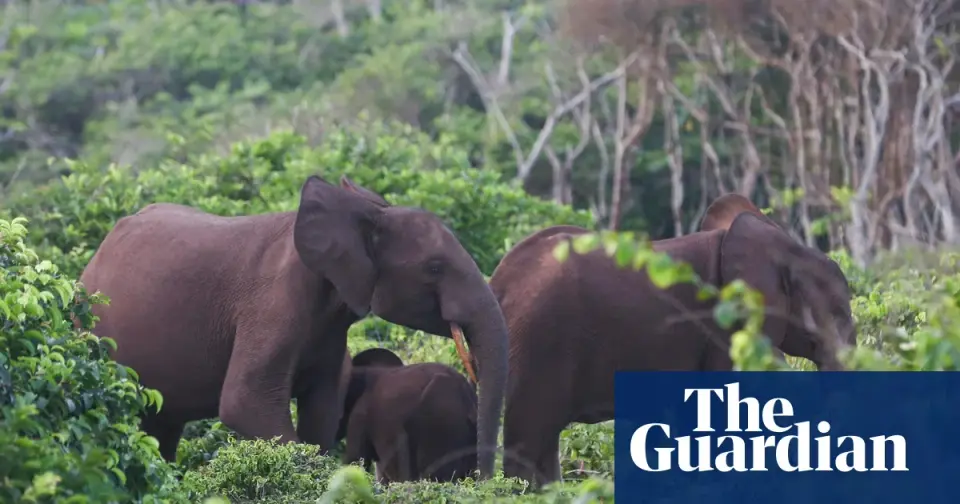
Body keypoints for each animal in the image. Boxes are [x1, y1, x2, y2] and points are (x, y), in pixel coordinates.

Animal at [487, 194, 856, 487]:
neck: (780, 246)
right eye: (838, 312)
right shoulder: (723, 328)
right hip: (539, 337)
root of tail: (499, 281)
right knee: (530, 435)